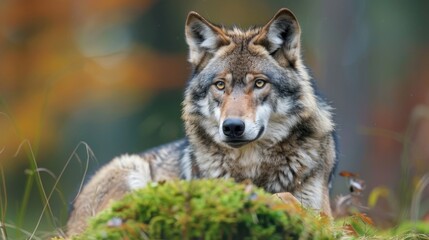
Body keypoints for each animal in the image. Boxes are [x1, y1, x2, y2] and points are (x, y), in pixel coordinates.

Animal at [67, 7, 336, 236]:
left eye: (260, 83)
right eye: (220, 85)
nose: (232, 127)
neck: (251, 167)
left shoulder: (325, 215)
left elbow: (295, 203)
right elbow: (280, 198)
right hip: (130, 168)